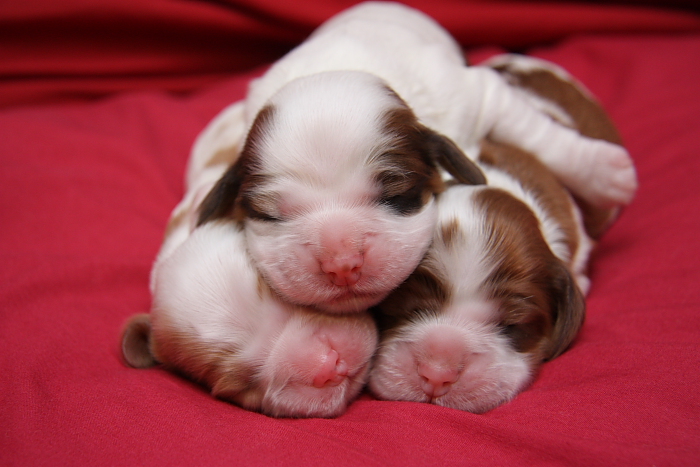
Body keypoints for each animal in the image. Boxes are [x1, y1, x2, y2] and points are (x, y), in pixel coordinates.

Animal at [193, 1, 636, 314]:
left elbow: (537, 135)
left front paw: (605, 173)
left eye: (397, 195)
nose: (341, 265)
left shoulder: (477, 95)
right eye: (268, 215)